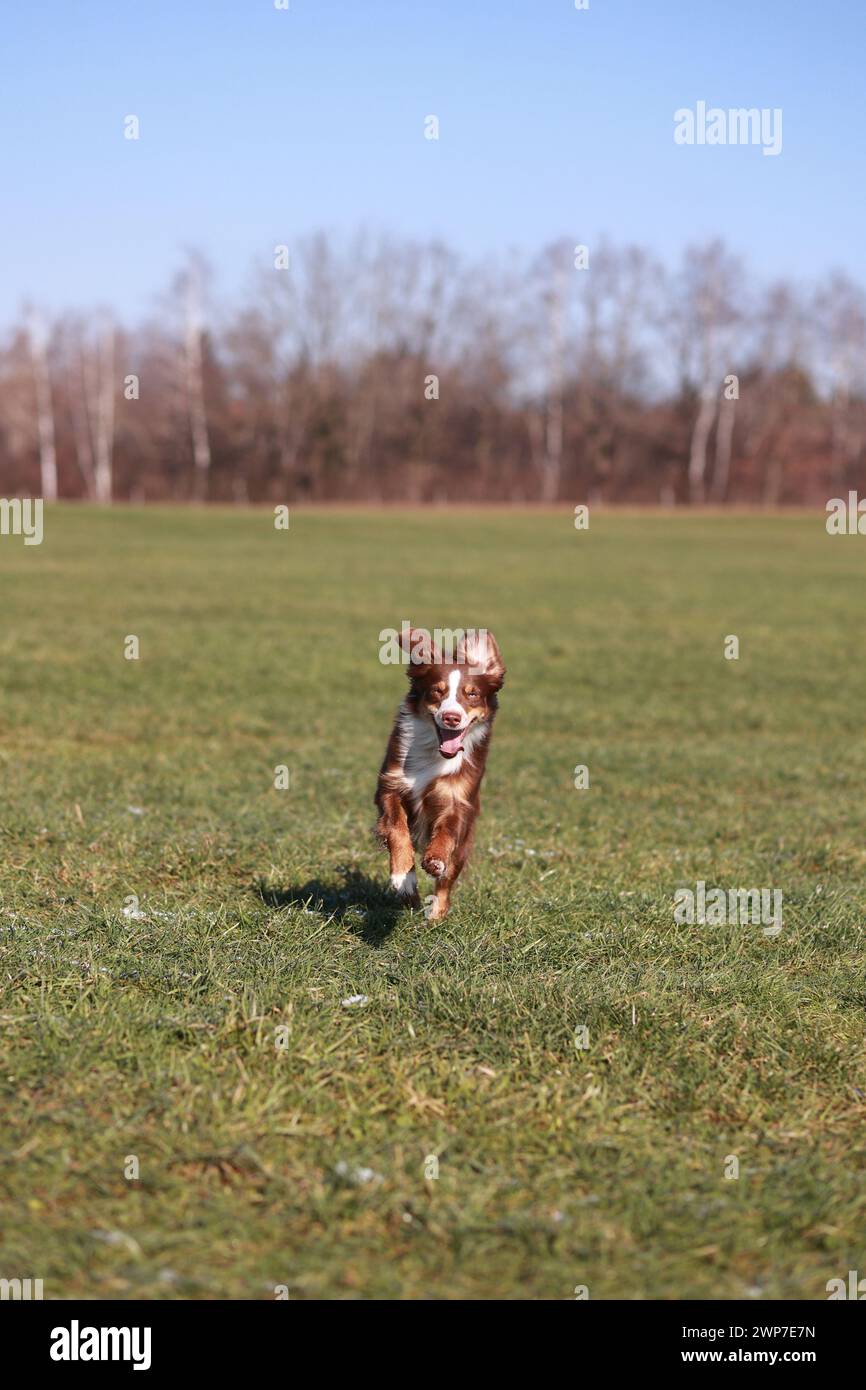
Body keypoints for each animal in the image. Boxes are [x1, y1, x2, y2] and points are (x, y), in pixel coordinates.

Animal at [375, 631, 505, 922]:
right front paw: (404, 878)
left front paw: (434, 860)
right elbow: (397, 828)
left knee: (448, 879)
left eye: (472, 694)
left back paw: (436, 914)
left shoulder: (459, 801)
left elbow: (446, 833)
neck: (435, 754)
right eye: (437, 691)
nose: (451, 717)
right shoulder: (390, 786)